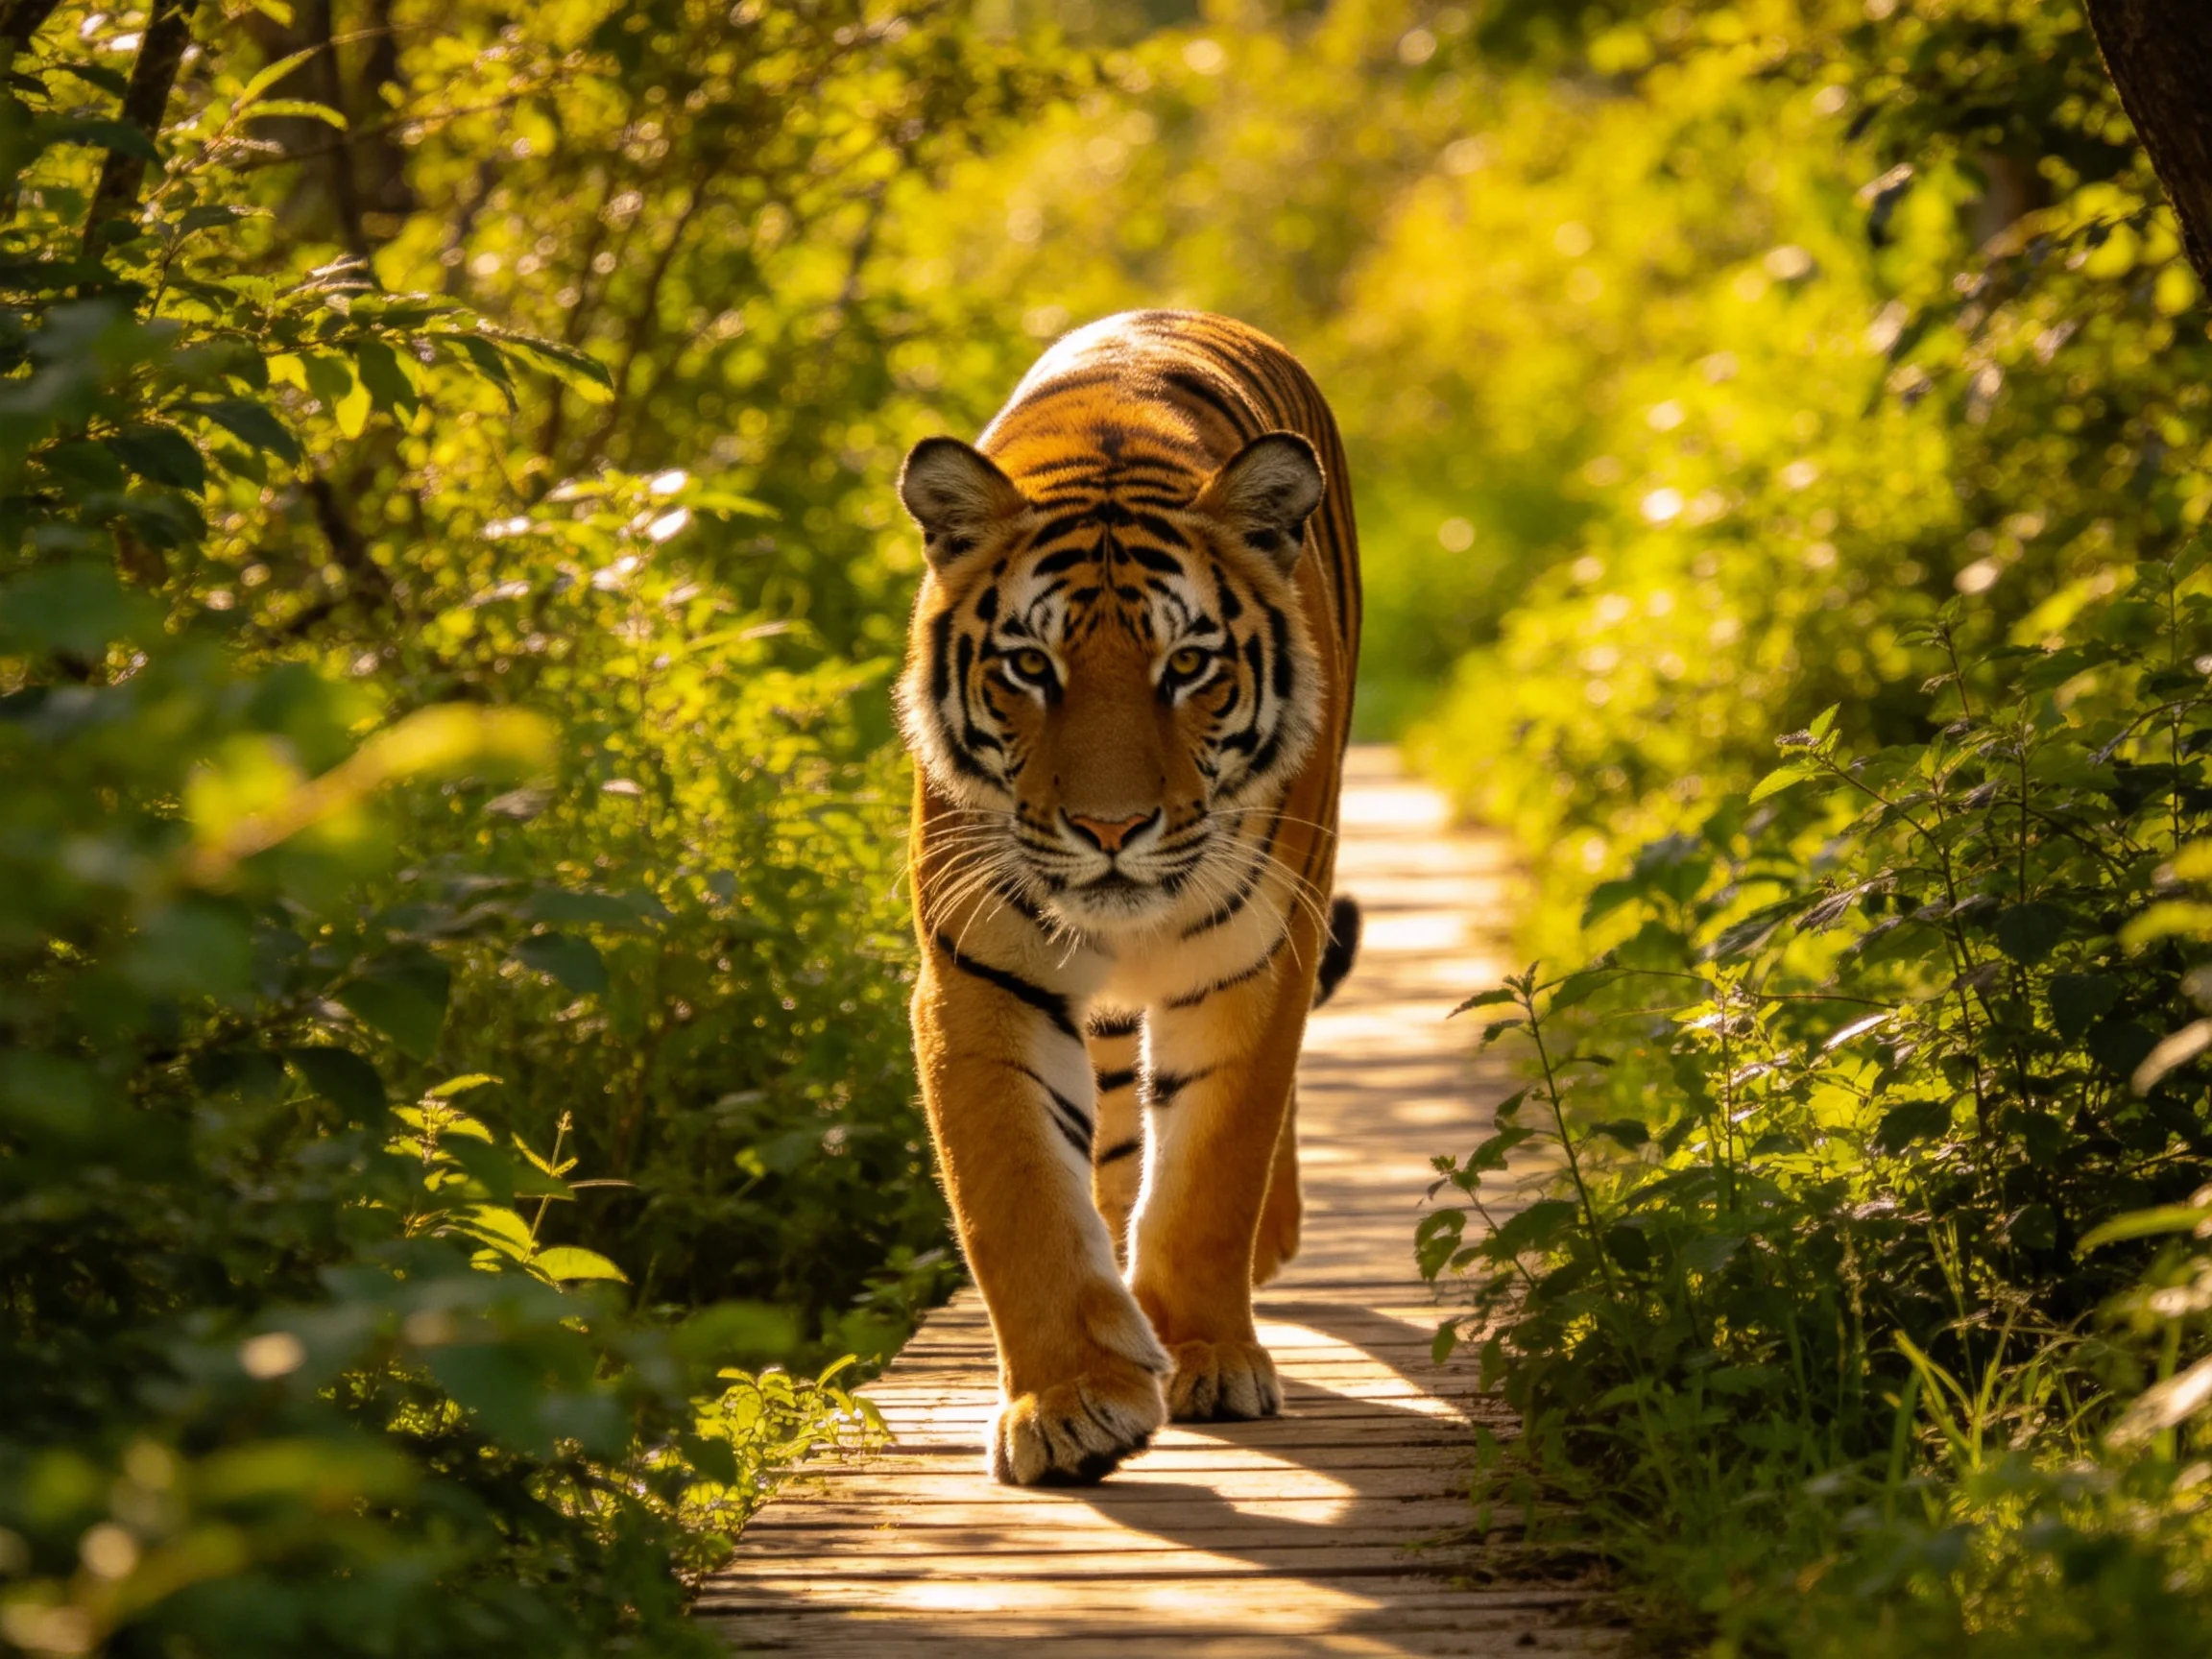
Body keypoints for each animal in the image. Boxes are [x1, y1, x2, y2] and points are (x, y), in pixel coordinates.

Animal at [895, 309, 1362, 1486]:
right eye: (1029, 665)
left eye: (1188, 665)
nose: (1111, 832)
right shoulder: (982, 974)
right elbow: (1017, 1195)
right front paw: (1069, 1401)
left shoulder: (1254, 957)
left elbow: (1212, 1172)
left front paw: (1208, 1354)